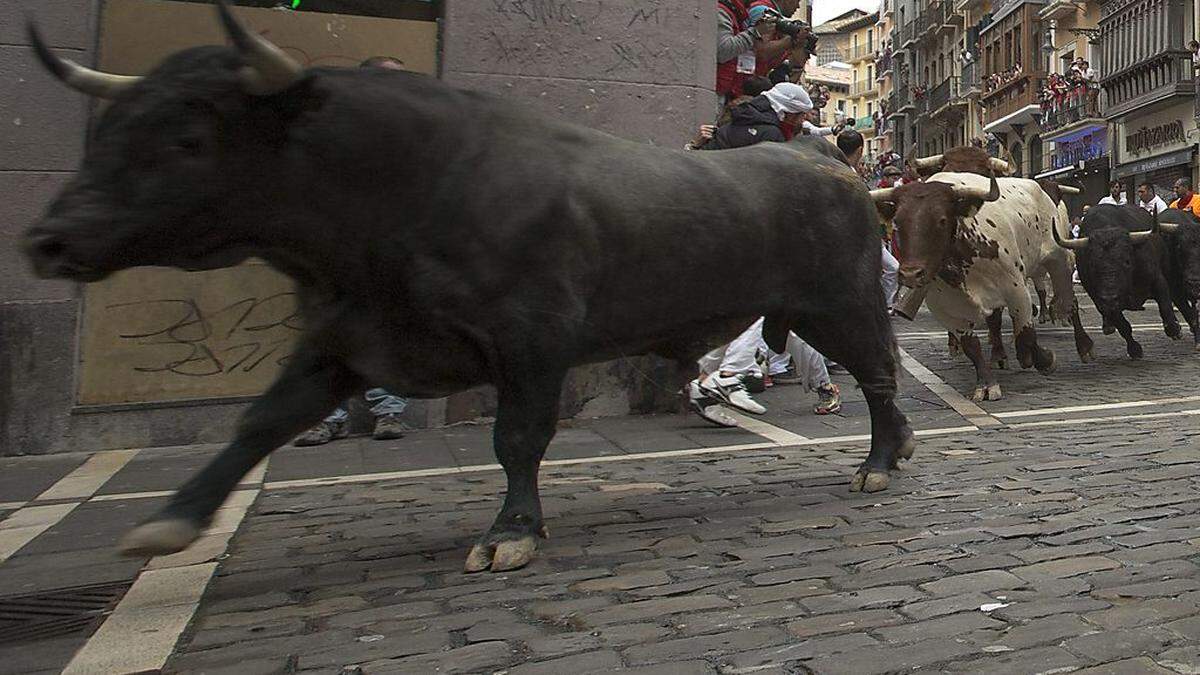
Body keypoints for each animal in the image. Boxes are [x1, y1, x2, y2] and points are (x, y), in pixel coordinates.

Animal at [23, 6, 912, 571]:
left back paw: (877, 460)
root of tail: (825, 163)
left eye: (187, 136)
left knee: (877, 372)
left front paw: (510, 532)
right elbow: (259, 422)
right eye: (113, 125)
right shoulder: (345, 338)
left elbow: (516, 437)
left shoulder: (532, 337)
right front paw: (170, 521)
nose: (46, 239)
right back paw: (890, 447)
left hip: (837, 302)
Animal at [1051, 204, 1190, 357]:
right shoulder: (1100, 301)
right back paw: (1108, 326)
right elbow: (1123, 325)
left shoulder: (1157, 279)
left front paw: (1175, 329)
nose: (1110, 297)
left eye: (1127, 261)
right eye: (1092, 265)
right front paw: (1134, 349)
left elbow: (1165, 305)